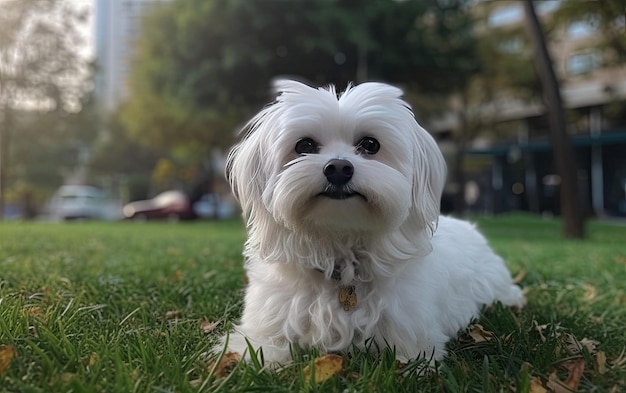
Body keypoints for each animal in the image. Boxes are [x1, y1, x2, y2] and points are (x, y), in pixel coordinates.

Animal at [219, 79, 520, 364]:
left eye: (370, 144)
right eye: (304, 145)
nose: (338, 168)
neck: (340, 249)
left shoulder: (410, 331)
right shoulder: (270, 318)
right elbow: (260, 348)